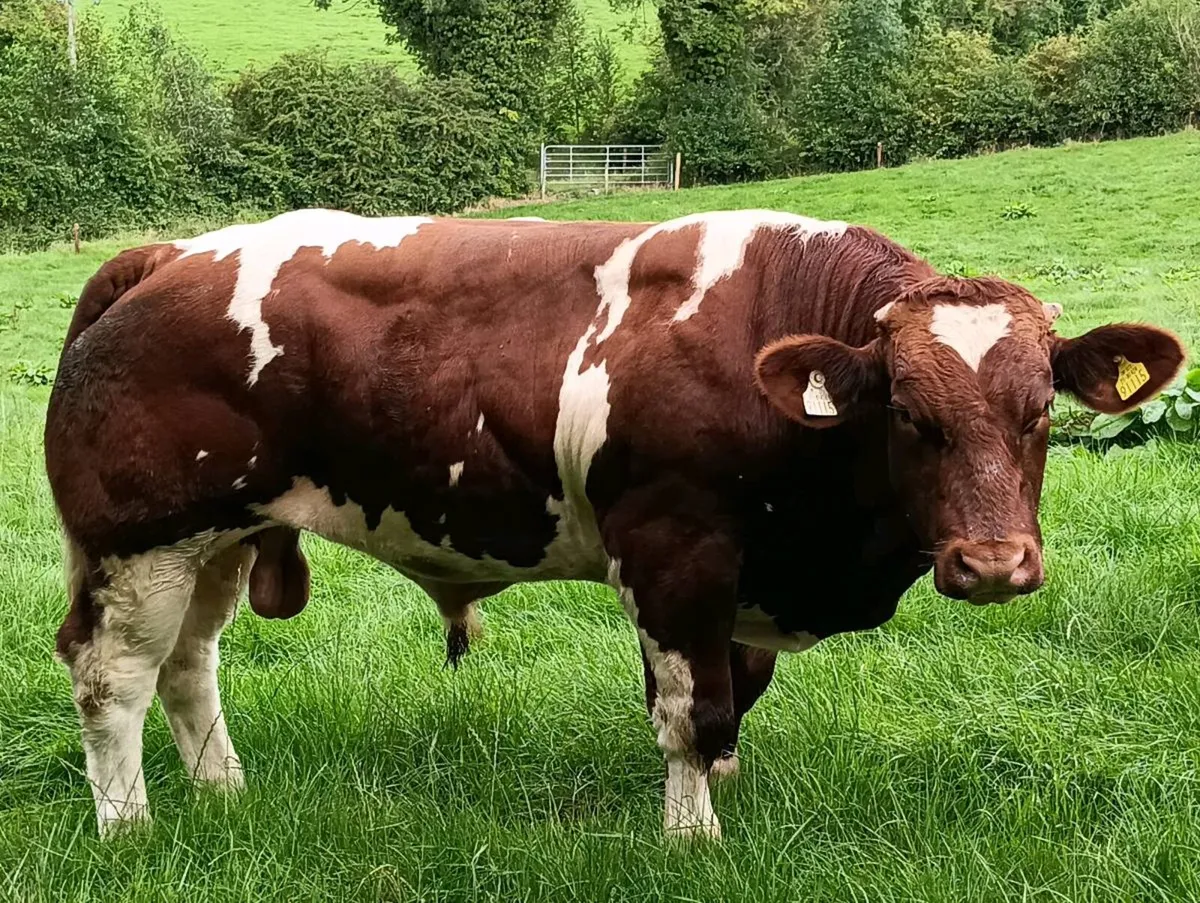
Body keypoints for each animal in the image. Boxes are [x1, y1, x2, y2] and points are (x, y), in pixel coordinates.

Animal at [45, 208, 1184, 839]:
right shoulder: (676, 551)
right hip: (138, 543)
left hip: (217, 541)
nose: (992, 563)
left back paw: (223, 791)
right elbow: (695, 709)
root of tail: (167, 256)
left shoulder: (736, 578)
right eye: (909, 411)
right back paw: (130, 826)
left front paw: (722, 791)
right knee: (113, 680)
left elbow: (733, 698)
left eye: (1041, 410)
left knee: (188, 669)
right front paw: (694, 836)